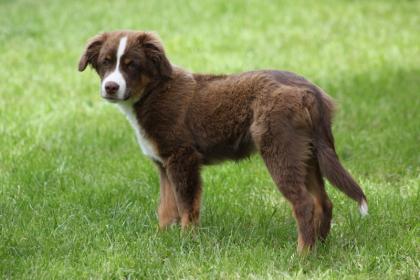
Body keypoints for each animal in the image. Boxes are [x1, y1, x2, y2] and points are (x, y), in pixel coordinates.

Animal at [79, 31, 368, 254]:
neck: (154, 92)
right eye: (105, 62)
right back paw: (320, 249)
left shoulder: (183, 158)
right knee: (323, 202)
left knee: (305, 204)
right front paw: (161, 240)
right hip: (307, 154)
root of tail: (310, 91)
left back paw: (302, 255)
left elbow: (187, 207)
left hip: (280, 149)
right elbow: (166, 208)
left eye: (132, 65)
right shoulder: (164, 164)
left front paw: (186, 244)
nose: (111, 87)